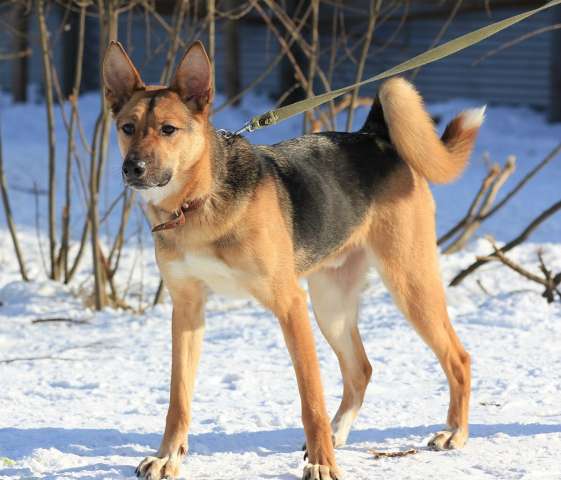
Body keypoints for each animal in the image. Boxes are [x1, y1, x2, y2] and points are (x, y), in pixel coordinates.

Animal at [103, 41, 484, 480]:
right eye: (127, 127)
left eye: (168, 129)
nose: (133, 168)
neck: (197, 203)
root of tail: (374, 136)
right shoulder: (187, 309)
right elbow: (178, 399)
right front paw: (168, 457)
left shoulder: (289, 305)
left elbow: (310, 400)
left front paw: (322, 465)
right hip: (331, 306)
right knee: (361, 369)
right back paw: (339, 433)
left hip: (409, 285)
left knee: (458, 358)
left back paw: (454, 432)